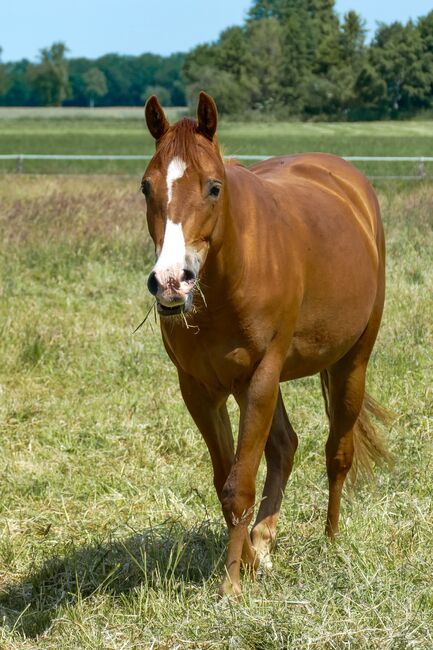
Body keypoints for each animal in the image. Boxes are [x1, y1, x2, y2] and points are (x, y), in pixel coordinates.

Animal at [141, 92, 388, 596]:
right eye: (145, 187)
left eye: (214, 187)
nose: (171, 282)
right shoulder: (200, 389)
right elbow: (227, 480)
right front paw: (250, 563)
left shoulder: (262, 377)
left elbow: (240, 485)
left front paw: (231, 586)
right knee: (285, 447)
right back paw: (264, 545)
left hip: (350, 363)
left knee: (337, 452)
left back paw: (330, 540)